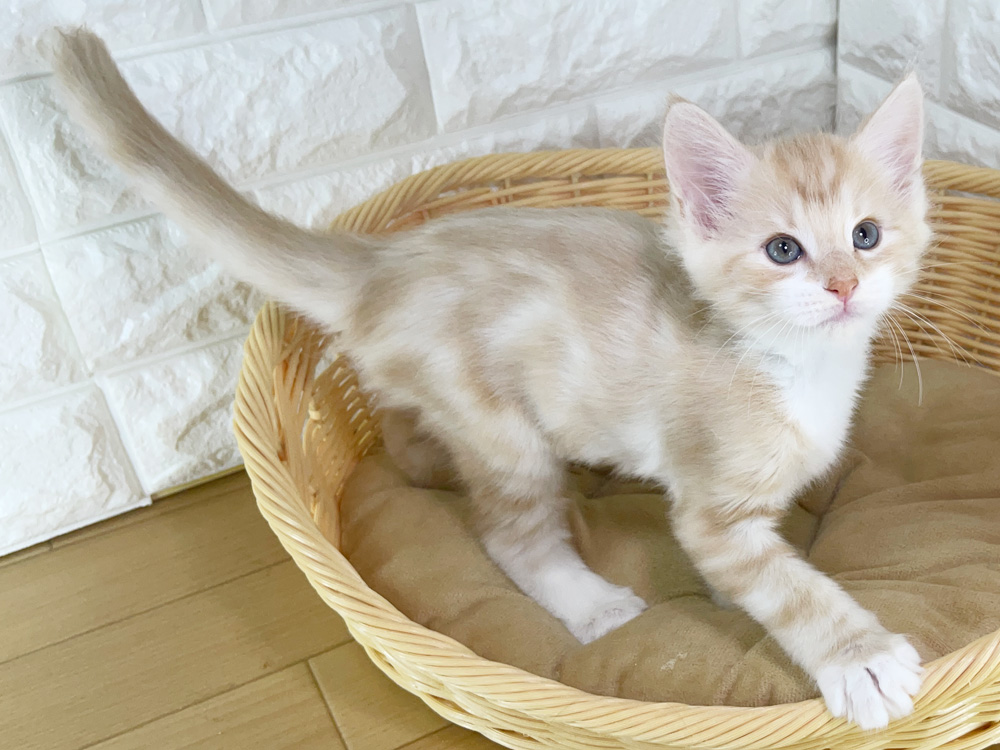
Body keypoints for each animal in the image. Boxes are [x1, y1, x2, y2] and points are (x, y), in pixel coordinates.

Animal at [47, 29, 929, 730]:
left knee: (402, 431)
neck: (794, 366)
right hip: (504, 430)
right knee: (508, 536)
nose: (844, 285)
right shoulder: (709, 505)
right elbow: (780, 581)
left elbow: (761, 561)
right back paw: (589, 600)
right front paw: (860, 656)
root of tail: (384, 265)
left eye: (866, 234)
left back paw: (429, 466)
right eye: (783, 249)